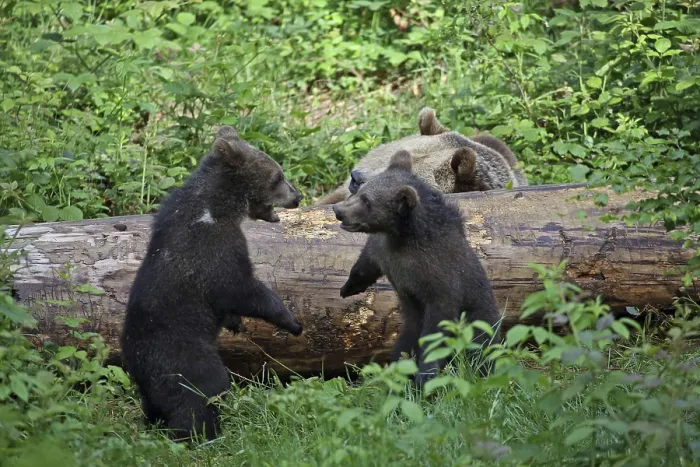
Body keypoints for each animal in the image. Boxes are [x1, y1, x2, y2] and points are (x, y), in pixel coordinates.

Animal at [121, 125, 304, 442]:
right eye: (278, 176)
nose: (298, 196)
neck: (216, 207)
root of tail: (138, 361)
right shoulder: (213, 248)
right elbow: (242, 287)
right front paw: (291, 321)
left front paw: (235, 322)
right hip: (184, 356)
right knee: (203, 390)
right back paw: (202, 432)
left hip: (148, 379)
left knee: (154, 403)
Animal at [333, 149, 502, 388]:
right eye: (362, 191)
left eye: (367, 201)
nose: (338, 210)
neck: (403, 238)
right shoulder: (385, 252)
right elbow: (367, 262)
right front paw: (349, 287)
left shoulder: (441, 282)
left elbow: (437, 331)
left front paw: (425, 376)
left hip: (480, 319)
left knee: (481, 345)